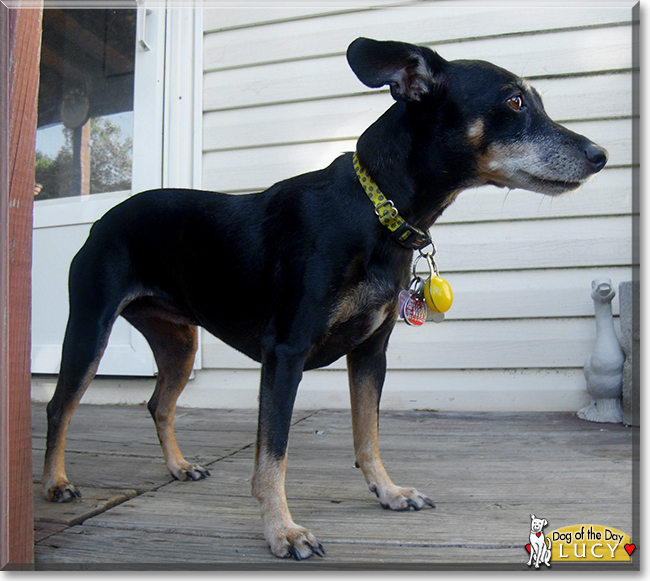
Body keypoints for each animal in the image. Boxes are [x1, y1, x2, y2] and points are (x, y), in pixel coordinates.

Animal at [43, 37, 604, 556]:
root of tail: (102, 221)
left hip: (179, 342)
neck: (375, 211)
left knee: (159, 402)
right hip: (90, 327)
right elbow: (273, 455)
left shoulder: (371, 352)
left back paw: (179, 466)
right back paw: (56, 483)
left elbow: (367, 433)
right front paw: (282, 530)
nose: (600, 156)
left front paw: (389, 492)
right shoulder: (285, 353)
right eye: (514, 101)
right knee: (59, 406)